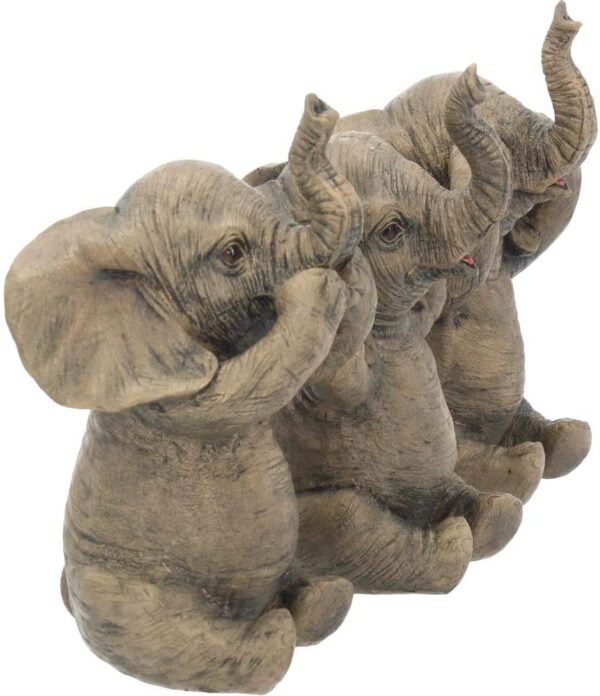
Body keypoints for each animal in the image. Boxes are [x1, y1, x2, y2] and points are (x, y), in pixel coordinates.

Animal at [4, 95, 363, 694]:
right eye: (233, 253)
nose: (318, 104)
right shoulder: (163, 390)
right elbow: (236, 395)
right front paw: (316, 286)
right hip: (121, 595)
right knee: (237, 647)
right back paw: (277, 625)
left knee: (321, 594)